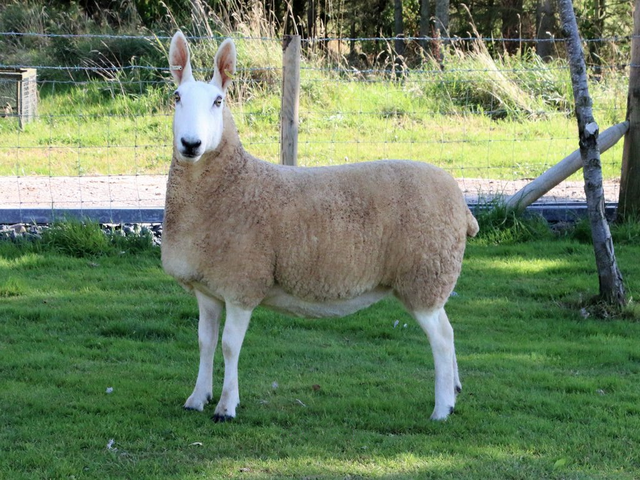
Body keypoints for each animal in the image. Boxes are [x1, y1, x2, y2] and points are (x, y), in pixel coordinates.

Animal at [162, 31, 479, 423]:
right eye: (176, 97)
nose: (191, 144)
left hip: (425, 276)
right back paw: (455, 389)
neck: (231, 184)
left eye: (218, 101)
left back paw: (442, 407)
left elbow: (230, 346)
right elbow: (205, 343)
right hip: (430, 278)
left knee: (443, 338)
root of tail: (461, 202)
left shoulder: (243, 283)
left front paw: (226, 406)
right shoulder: (208, 287)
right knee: (449, 333)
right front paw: (197, 397)